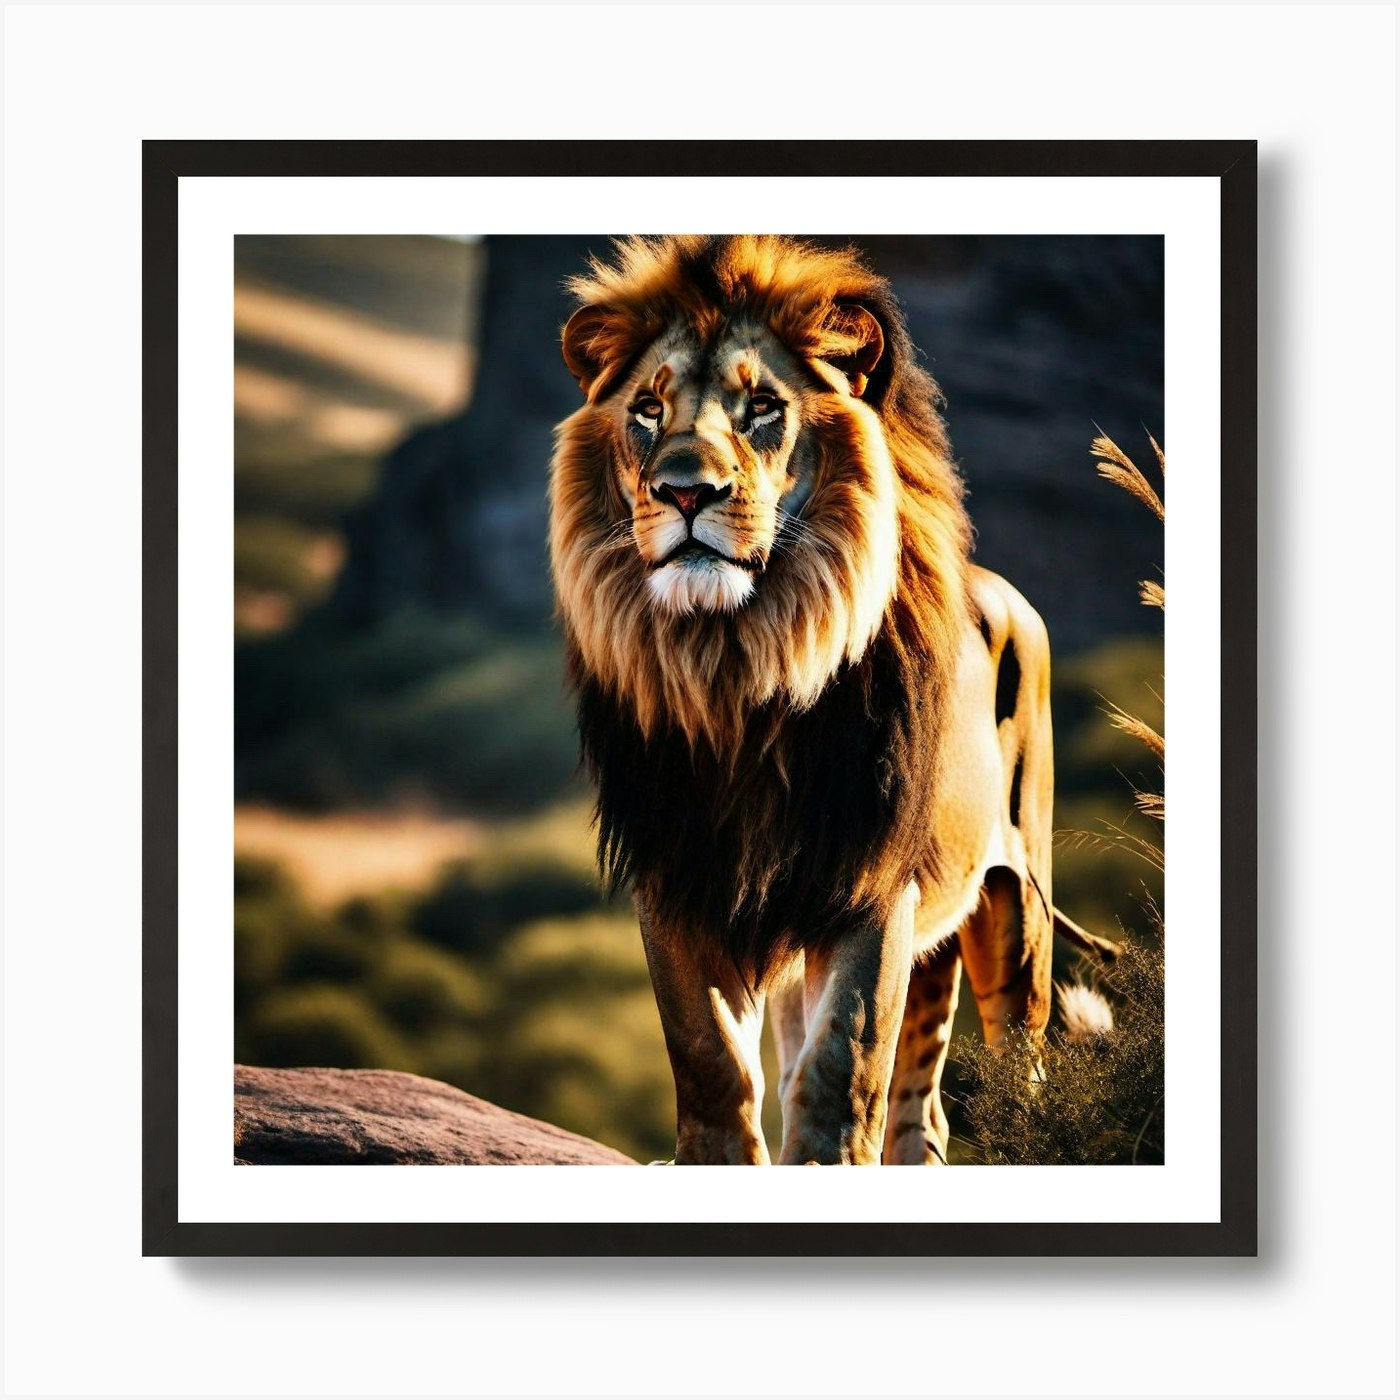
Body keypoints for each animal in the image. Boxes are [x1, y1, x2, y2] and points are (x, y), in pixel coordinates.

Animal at [549, 235, 1114, 1165]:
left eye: (762, 408)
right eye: (647, 410)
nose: (685, 492)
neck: (737, 664)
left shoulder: (868, 887)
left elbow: (838, 1071)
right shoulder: (678, 883)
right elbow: (712, 1065)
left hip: (1016, 907)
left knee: (1012, 1083)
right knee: (921, 1112)